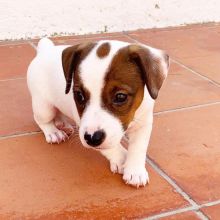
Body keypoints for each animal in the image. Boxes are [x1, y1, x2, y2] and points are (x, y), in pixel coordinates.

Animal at [26, 37, 169, 187]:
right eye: (79, 95)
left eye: (120, 97)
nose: (91, 138)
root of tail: (45, 50)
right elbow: (110, 148)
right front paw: (122, 158)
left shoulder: (144, 123)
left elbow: (139, 147)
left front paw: (135, 170)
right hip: (43, 106)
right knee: (43, 120)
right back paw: (53, 132)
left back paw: (62, 123)